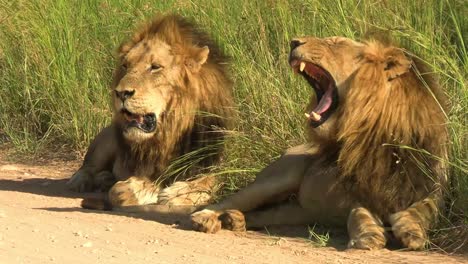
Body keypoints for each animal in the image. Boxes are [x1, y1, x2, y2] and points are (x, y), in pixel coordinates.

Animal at [66, 13, 234, 208]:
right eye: (125, 66)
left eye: (155, 67)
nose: (120, 93)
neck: (172, 132)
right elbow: (127, 188)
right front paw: (139, 189)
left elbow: (212, 179)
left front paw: (178, 193)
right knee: (86, 168)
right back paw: (86, 181)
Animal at [191, 36, 450, 251]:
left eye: (335, 43)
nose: (294, 42)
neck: (380, 137)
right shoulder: (357, 192)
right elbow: (359, 213)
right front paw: (367, 235)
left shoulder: (431, 189)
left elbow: (420, 211)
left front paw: (412, 231)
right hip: (277, 179)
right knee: (231, 199)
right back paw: (206, 217)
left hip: (298, 211)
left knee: (265, 213)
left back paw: (235, 220)